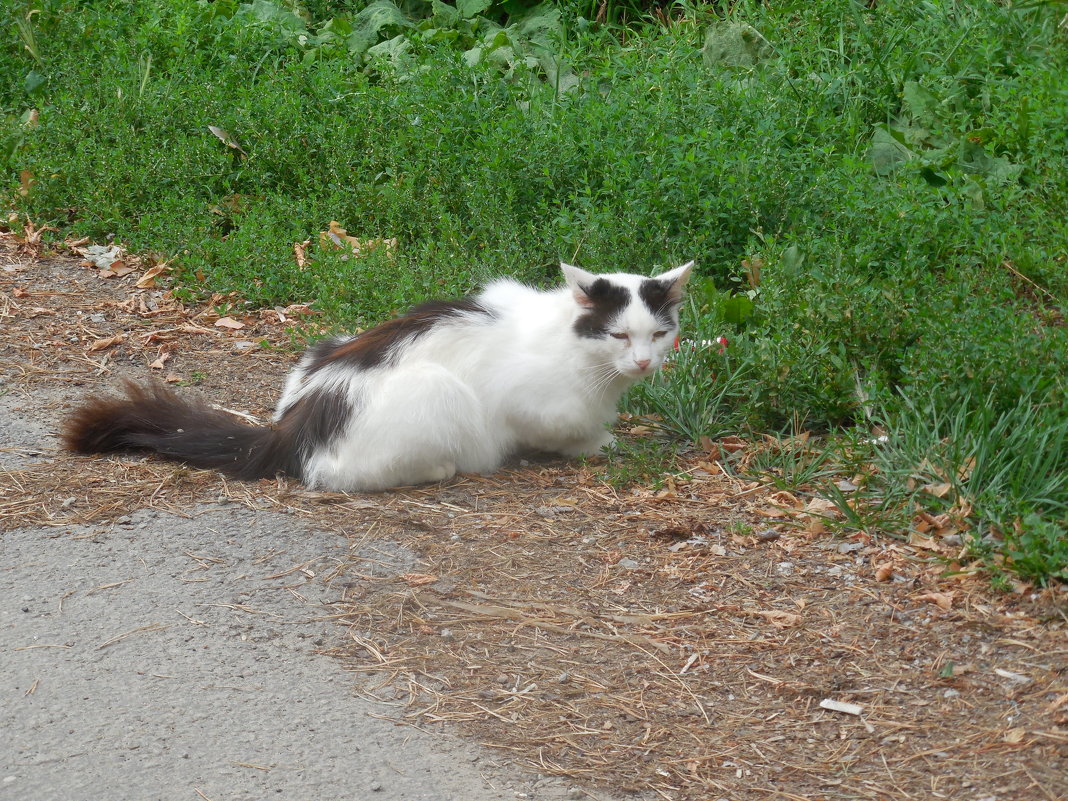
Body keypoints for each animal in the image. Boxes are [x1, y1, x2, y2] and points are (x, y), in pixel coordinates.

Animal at [64, 260, 692, 493]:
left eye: (659, 334)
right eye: (619, 336)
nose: (644, 362)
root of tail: (293, 425)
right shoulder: (532, 403)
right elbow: (568, 431)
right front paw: (599, 443)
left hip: (324, 343)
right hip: (438, 391)